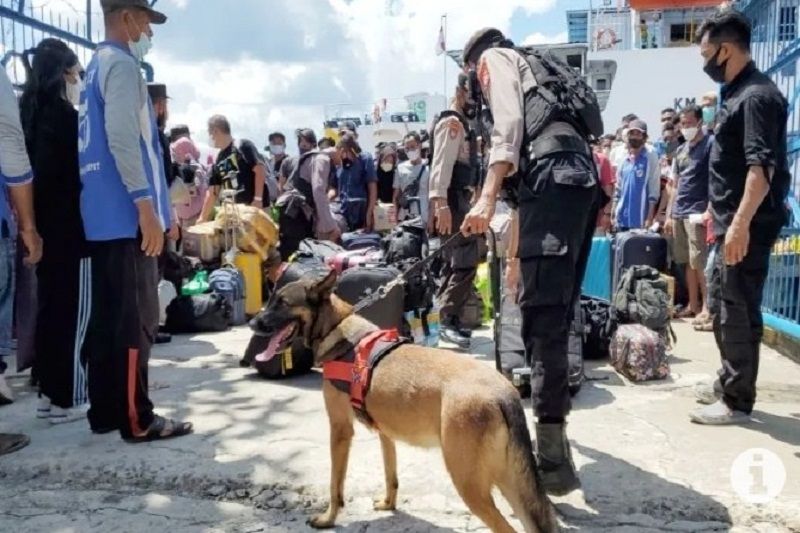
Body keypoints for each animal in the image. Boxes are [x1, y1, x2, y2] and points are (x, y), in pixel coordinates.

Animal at [253, 270, 560, 532]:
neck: (338, 330)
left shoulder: (340, 430)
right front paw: (388, 504)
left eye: (281, 303)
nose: (253, 322)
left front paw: (328, 518)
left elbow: (335, 484)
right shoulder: (385, 434)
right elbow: (391, 475)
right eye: (271, 299)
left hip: (471, 484)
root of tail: (503, 393)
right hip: (511, 482)